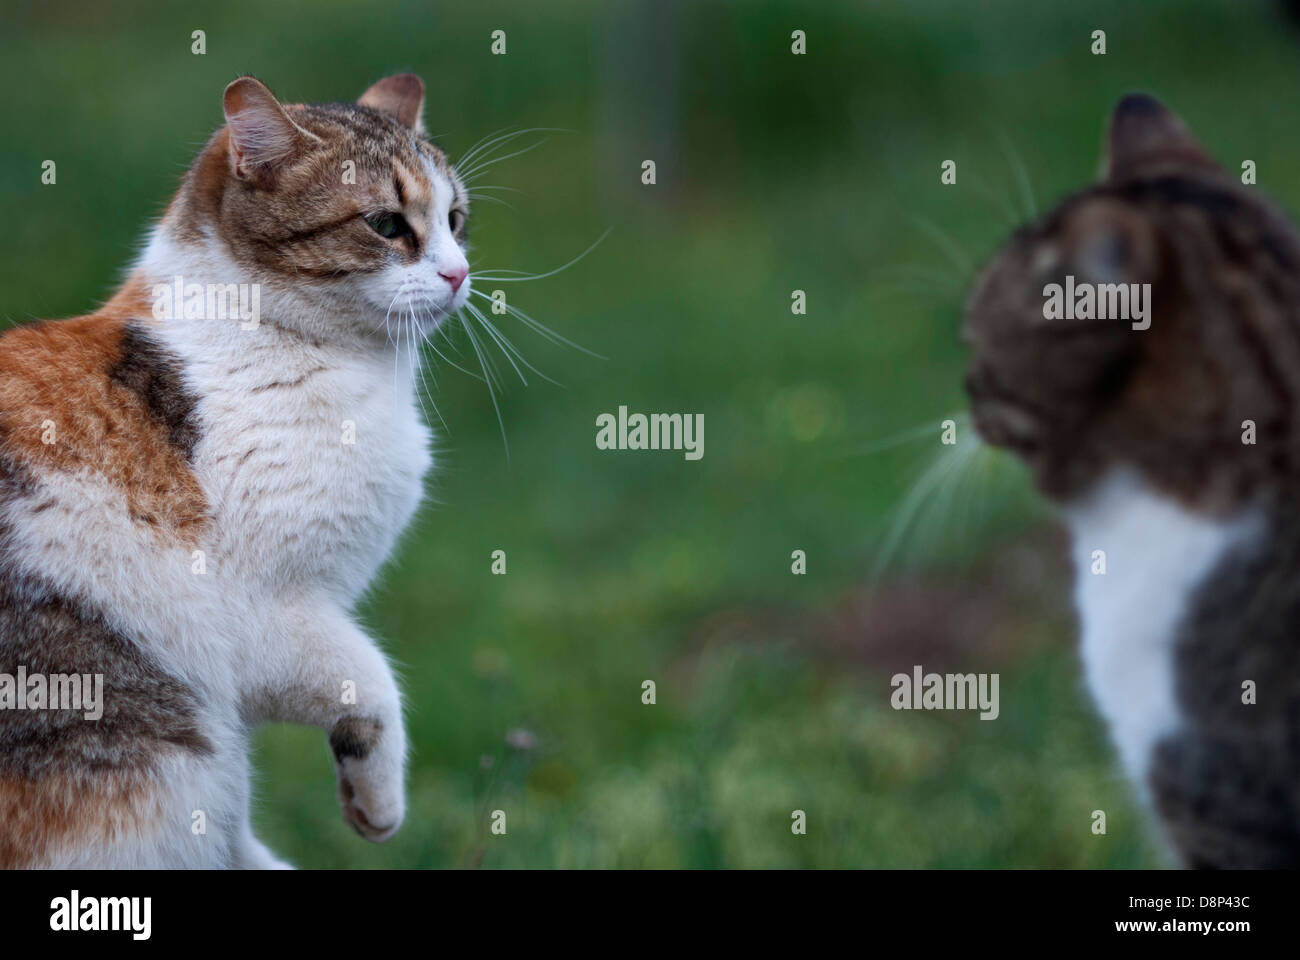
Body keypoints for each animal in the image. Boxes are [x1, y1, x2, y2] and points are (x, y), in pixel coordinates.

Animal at [0, 74, 467, 868]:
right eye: (386, 224)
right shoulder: (264, 613)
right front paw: (379, 801)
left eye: (456, 221)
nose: (460, 273)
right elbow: (372, 680)